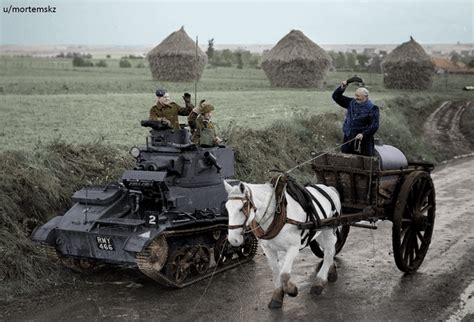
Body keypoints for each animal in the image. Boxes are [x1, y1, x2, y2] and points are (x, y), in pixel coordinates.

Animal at [223, 181, 340, 310]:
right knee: (328, 249)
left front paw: (292, 290)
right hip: (319, 231)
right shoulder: (268, 249)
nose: (233, 239)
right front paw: (277, 296)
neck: (275, 215)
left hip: (329, 228)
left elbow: (284, 274)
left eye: (242, 208)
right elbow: (276, 271)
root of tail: (328, 188)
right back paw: (331, 271)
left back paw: (319, 283)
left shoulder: (293, 247)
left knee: (329, 250)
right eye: (227, 208)